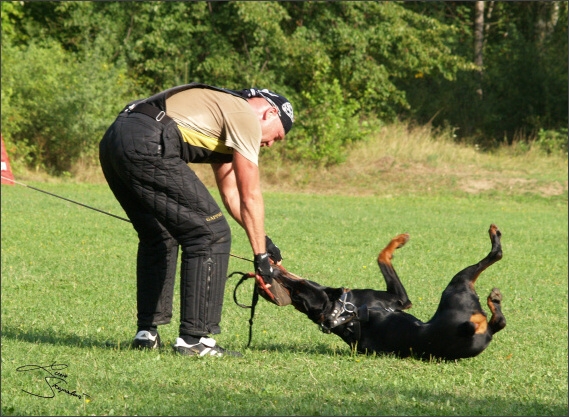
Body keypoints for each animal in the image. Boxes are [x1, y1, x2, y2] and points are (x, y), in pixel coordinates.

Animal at [266, 223, 506, 360]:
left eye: (298, 289)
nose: (272, 272)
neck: (341, 313)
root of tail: (468, 330)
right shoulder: (399, 299)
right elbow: (382, 256)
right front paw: (400, 240)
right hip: (456, 286)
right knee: (495, 256)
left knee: (499, 322)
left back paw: (495, 300)